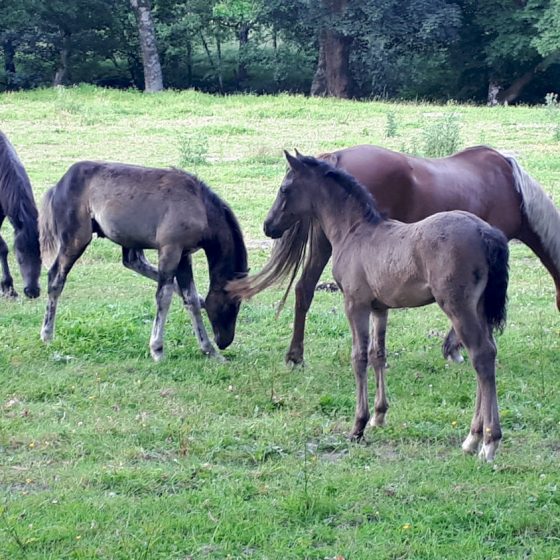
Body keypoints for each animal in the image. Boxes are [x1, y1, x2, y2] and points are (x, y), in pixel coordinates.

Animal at [39, 161, 247, 364]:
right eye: (231, 305)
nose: (224, 342)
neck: (200, 207)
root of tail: (58, 187)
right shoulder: (170, 250)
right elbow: (163, 296)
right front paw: (157, 349)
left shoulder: (184, 255)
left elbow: (191, 299)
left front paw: (209, 351)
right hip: (76, 240)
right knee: (55, 278)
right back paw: (47, 335)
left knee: (132, 262)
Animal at [234, 151, 510, 462]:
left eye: (284, 189)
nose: (268, 226)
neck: (355, 232)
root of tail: (485, 232)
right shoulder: (380, 308)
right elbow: (379, 354)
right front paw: (379, 415)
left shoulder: (356, 304)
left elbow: (359, 357)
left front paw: (358, 425)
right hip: (479, 308)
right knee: (488, 353)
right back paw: (473, 438)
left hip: (458, 306)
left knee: (481, 356)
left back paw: (487, 442)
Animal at [235, 143, 556, 368]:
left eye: (284, 189)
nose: (268, 225)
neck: (513, 188)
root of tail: (335, 156)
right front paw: (452, 348)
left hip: (323, 244)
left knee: (304, 290)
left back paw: (295, 355)